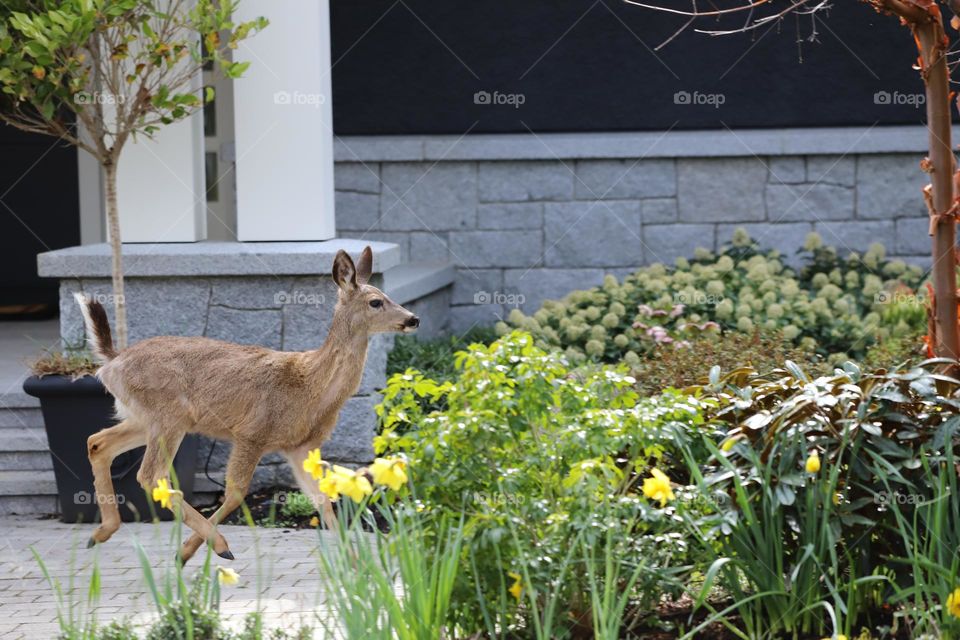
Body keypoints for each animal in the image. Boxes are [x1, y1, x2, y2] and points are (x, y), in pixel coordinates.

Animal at [75, 248, 420, 564]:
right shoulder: (252, 432)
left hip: (146, 418)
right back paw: (215, 544)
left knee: (97, 442)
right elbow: (236, 493)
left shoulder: (300, 445)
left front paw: (355, 564)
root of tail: (112, 361)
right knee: (149, 474)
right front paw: (193, 550)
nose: (413, 319)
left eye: (387, 296)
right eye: (376, 302)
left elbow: (322, 498)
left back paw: (100, 533)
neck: (310, 386)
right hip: (168, 416)